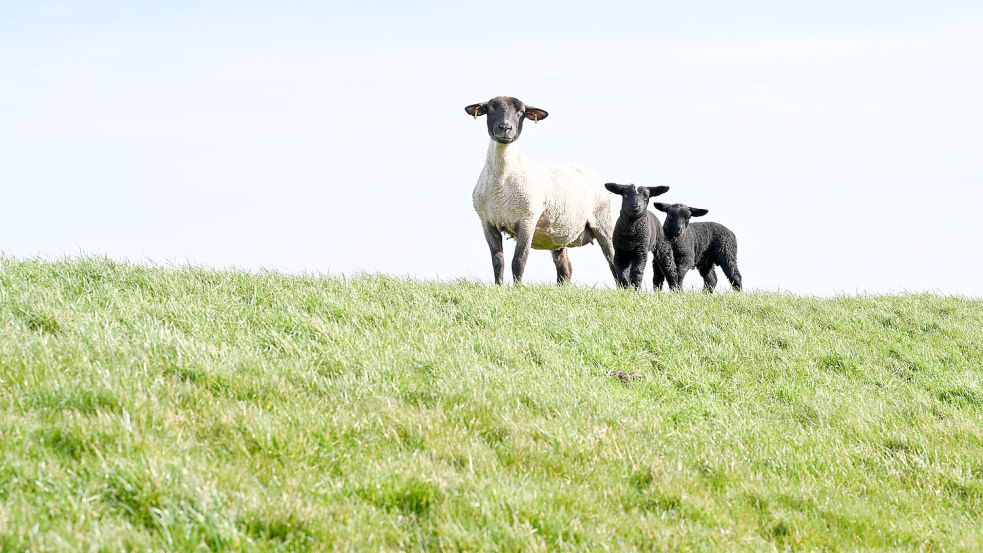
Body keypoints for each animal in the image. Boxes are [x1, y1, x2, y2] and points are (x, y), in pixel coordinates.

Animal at [464, 96, 616, 284]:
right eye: (490, 109)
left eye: (521, 112)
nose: (505, 128)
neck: (501, 182)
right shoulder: (487, 222)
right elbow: (498, 260)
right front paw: (499, 286)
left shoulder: (527, 220)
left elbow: (519, 260)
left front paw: (517, 287)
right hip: (559, 234)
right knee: (565, 269)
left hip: (603, 222)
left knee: (614, 260)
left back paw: (626, 287)